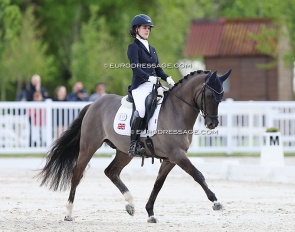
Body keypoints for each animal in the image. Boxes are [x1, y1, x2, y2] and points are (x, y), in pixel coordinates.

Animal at [37, 69, 231, 223]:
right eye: (210, 96)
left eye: (221, 97)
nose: (212, 124)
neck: (176, 110)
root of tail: (93, 104)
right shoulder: (177, 155)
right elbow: (198, 175)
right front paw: (216, 202)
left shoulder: (170, 159)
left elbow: (158, 184)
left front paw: (150, 213)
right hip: (88, 146)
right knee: (77, 173)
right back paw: (69, 213)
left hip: (124, 152)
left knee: (111, 171)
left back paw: (130, 204)